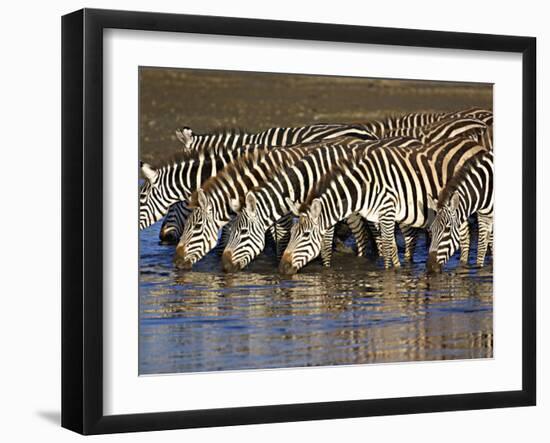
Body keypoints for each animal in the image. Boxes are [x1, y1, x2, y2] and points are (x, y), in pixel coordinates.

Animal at [280, 136, 488, 274]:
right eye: (292, 233)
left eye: (306, 235)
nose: (282, 268)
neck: (363, 188)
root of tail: (472, 142)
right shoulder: (378, 215)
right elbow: (388, 246)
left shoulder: (387, 210)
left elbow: (389, 246)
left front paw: (391, 274)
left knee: (468, 236)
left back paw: (464, 266)